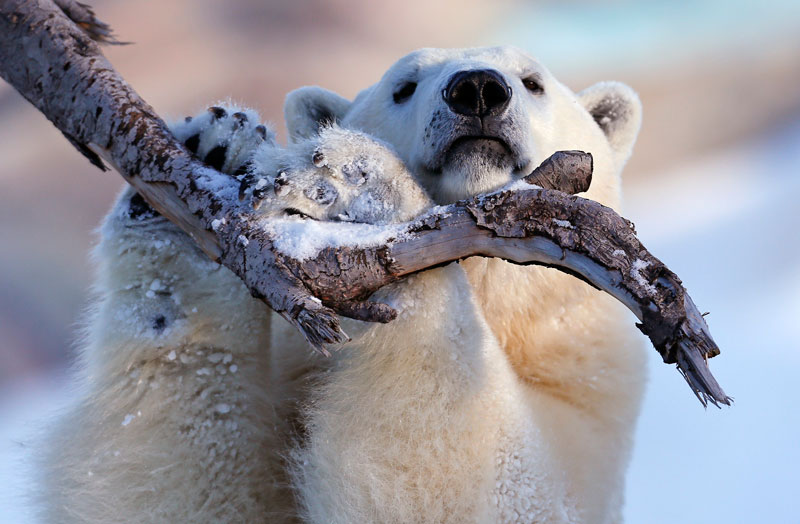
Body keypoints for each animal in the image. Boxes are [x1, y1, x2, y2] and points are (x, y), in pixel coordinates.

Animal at [40, 46, 648, 524]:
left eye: (533, 80)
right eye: (404, 85)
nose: (477, 89)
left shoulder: (588, 399)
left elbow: (484, 484)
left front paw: (356, 182)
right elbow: (179, 482)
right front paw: (210, 156)